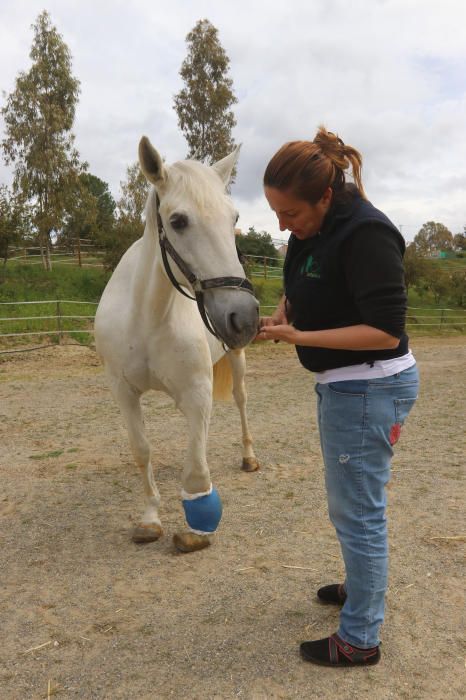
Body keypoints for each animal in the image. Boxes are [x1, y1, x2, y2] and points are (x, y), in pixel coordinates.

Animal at [93, 137, 260, 552]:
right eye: (178, 221)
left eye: (234, 218)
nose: (244, 317)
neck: (146, 317)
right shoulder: (123, 391)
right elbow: (142, 451)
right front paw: (150, 518)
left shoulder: (198, 390)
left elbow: (196, 467)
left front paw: (196, 528)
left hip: (237, 360)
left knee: (241, 402)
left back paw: (249, 457)